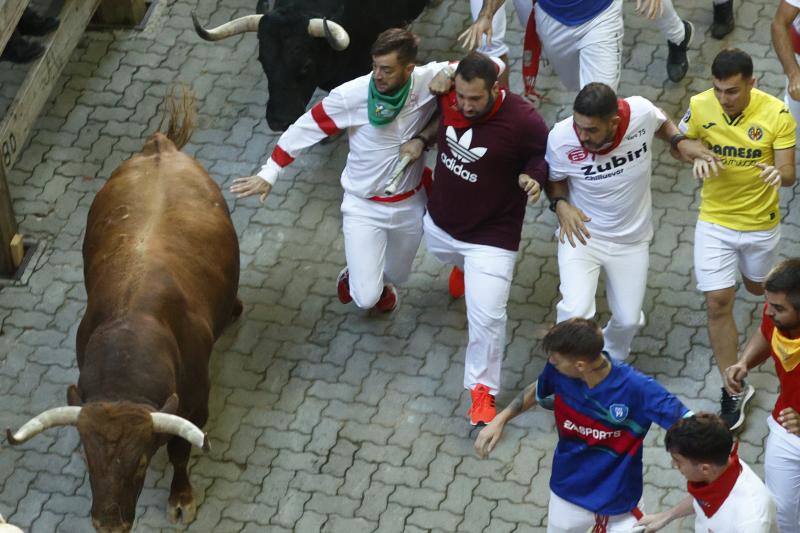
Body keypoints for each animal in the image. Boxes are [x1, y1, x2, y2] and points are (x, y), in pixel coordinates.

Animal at [6, 89, 242, 528]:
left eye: (140, 463)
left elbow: (180, 451)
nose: (109, 523)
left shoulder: (196, 402)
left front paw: (181, 497)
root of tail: (159, 147)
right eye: (89, 461)